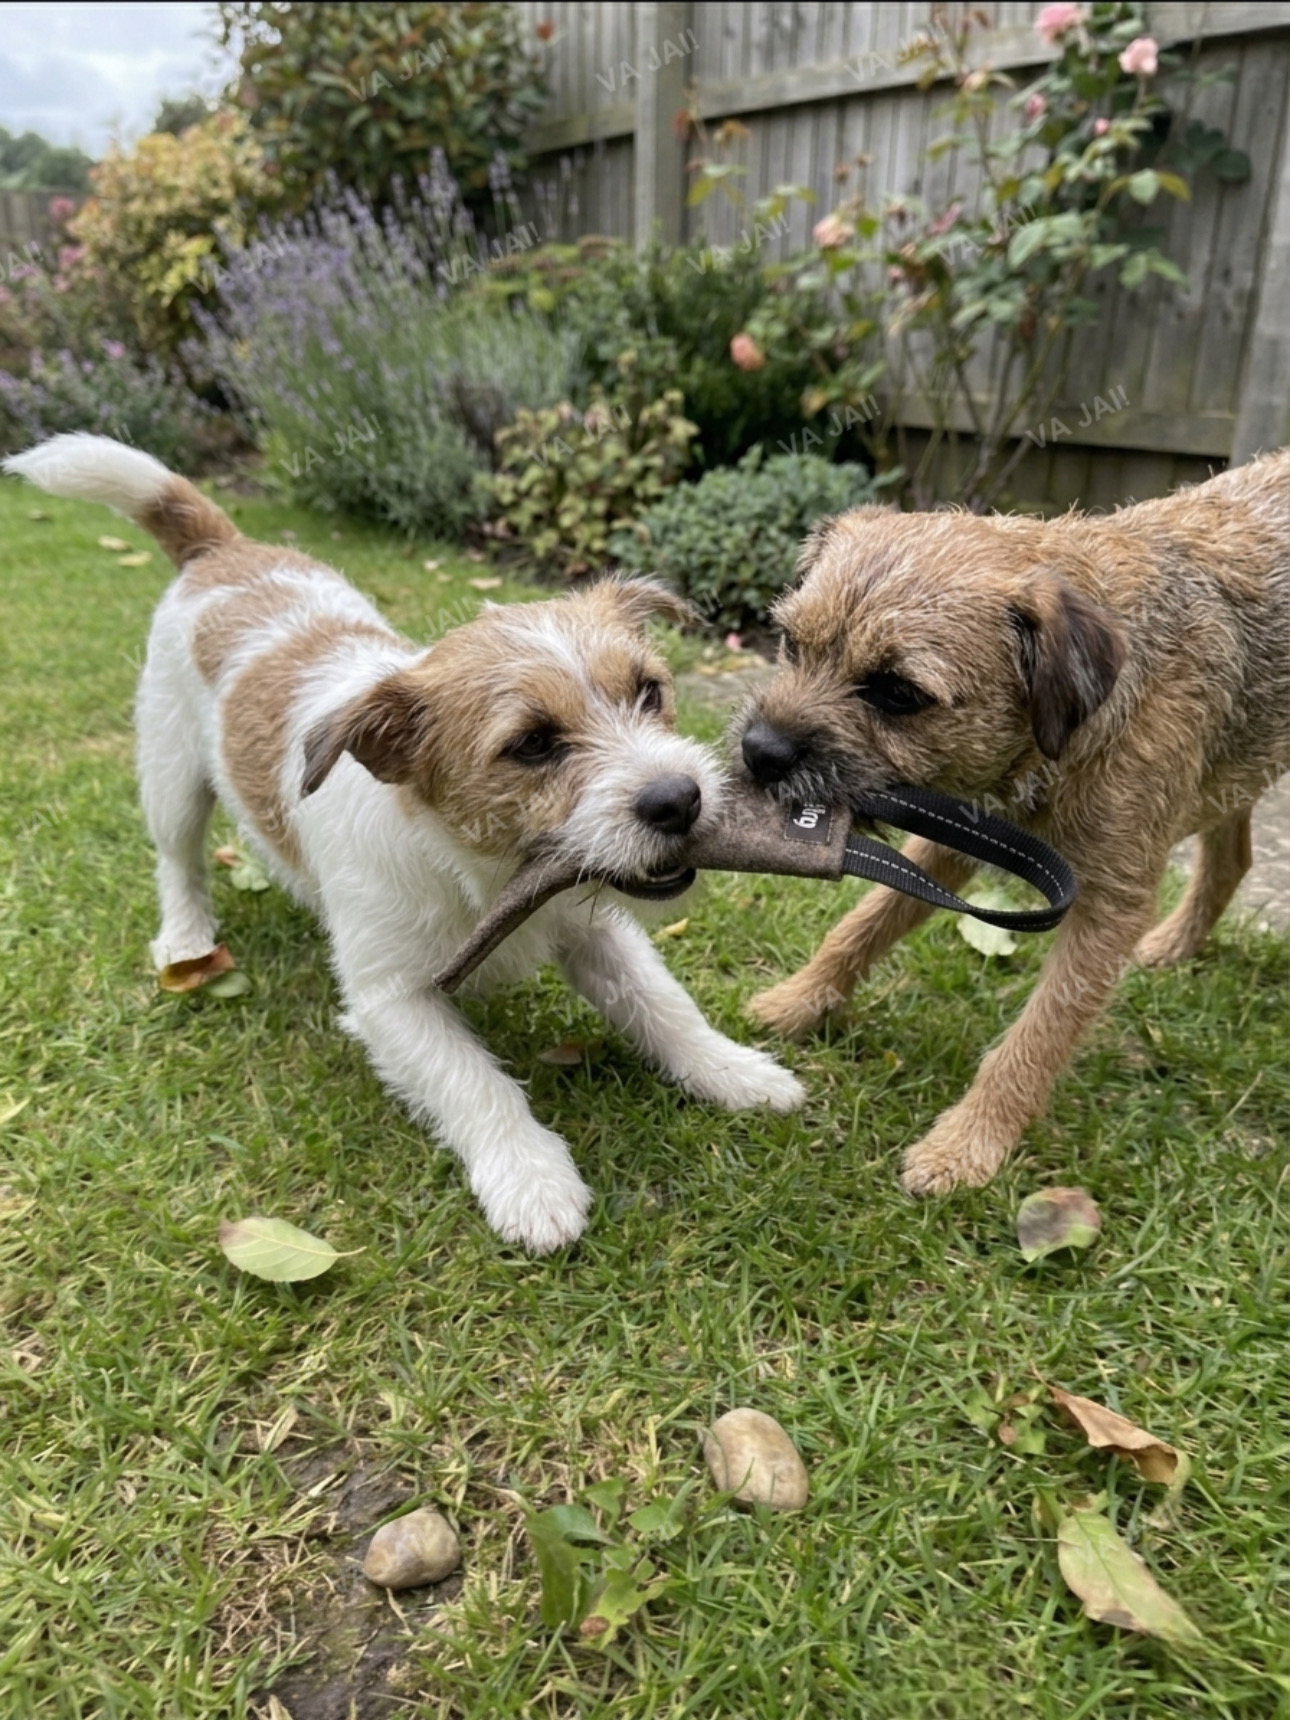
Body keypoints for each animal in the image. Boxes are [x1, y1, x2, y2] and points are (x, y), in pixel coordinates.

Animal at [7, 435, 803, 1252]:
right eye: (532, 745)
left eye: (649, 692)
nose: (681, 799)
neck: (478, 869)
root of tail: (221, 549)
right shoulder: (390, 1001)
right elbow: (473, 1081)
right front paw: (531, 1179)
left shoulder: (593, 930)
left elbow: (663, 1004)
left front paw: (733, 1071)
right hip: (171, 773)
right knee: (178, 858)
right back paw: (187, 937)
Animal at [736, 450, 1289, 1195]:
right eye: (790, 643)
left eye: (898, 692)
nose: (758, 751)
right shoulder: (962, 836)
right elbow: (863, 923)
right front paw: (798, 1001)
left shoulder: (1109, 906)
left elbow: (1036, 1038)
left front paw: (968, 1145)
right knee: (1231, 858)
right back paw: (1175, 945)